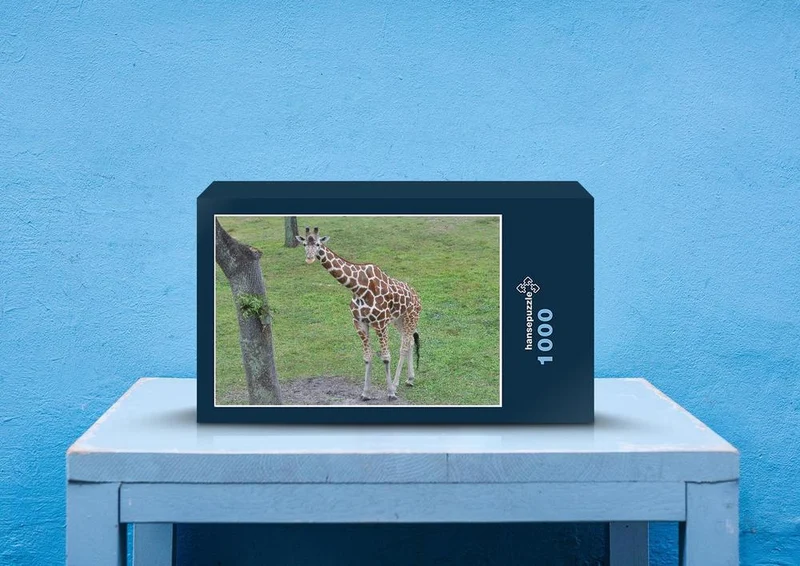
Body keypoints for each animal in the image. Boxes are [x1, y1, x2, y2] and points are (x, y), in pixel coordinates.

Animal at [296, 226, 421, 401]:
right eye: (304, 244)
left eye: (319, 244)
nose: (309, 258)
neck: (358, 288)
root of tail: (417, 297)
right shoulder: (360, 323)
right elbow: (367, 357)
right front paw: (365, 393)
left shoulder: (380, 323)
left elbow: (385, 357)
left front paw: (390, 392)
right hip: (399, 320)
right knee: (408, 342)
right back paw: (409, 379)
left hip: (411, 317)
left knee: (404, 346)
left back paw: (396, 385)